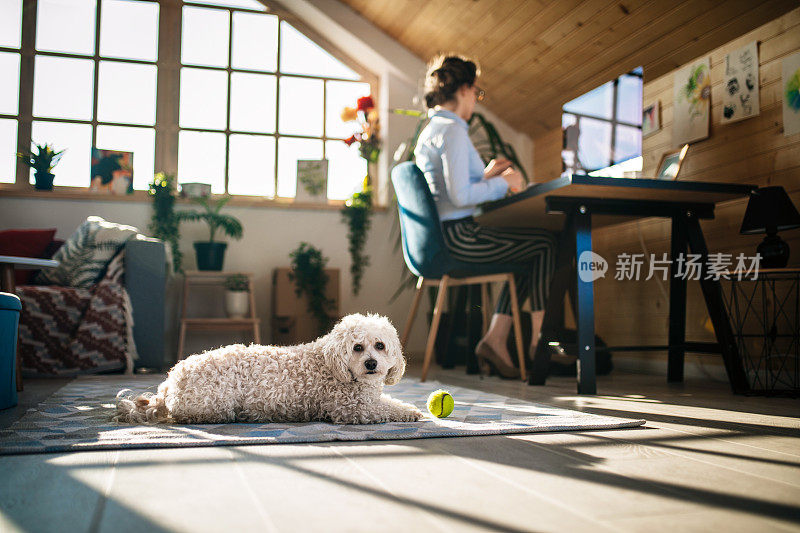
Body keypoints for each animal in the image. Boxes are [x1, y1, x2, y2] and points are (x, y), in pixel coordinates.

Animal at [115, 312, 424, 424]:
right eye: (358, 348)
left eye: (380, 345)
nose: (371, 364)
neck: (330, 362)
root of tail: (169, 382)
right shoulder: (354, 410)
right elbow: (386, 410)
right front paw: (410, 413)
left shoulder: (367, 400)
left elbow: (391, 401)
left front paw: (409, 406)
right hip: (215, 402)